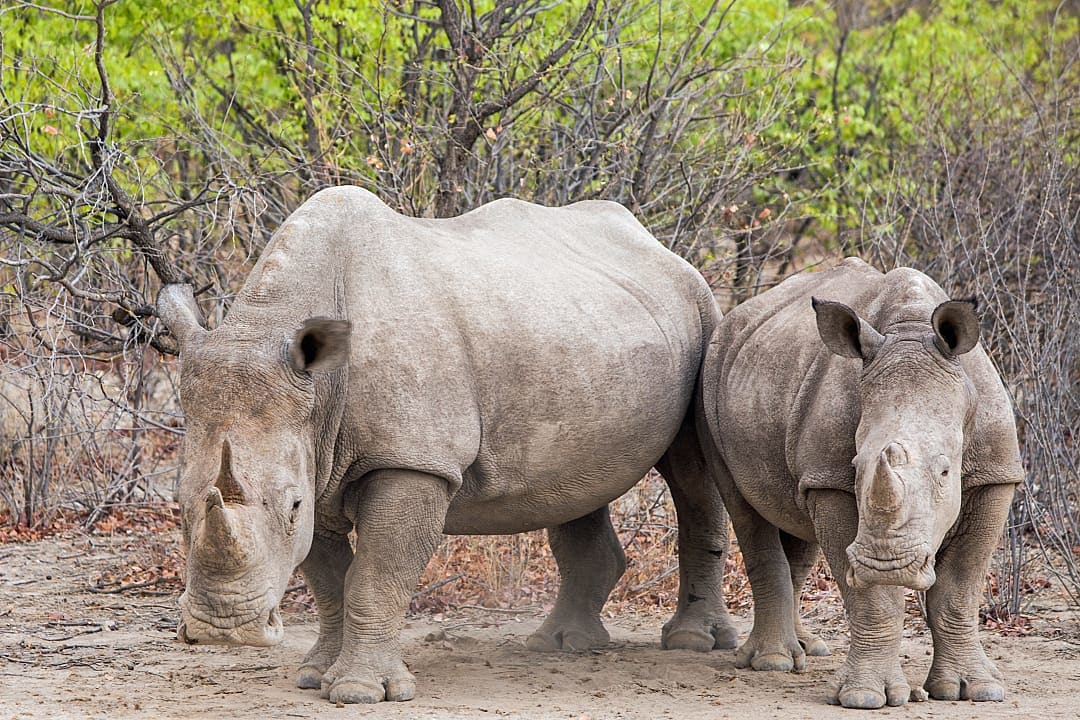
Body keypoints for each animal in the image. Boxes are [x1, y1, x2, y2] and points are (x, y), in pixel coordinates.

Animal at [157, 186, 737, 704]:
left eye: (292, 505)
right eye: (178, 505)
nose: (223, 630)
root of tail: (657, 245)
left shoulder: (413, 461)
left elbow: (374, 576)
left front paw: (359, 691)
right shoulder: (315, 453)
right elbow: (328, 580)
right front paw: (314, 675)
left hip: (702, 314)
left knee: (691, 469)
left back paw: (692, 642)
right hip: (581, 335)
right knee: (577, 483)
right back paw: (561, 645)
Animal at [697, 257, 1022, 709]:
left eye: (945, 472)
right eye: (856, 466)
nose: (889, 565)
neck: (910, 332)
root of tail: (735, 316)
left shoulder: (995, 474)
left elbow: (959, 587)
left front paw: (976, 690)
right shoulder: (831, 480)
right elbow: (873, 599)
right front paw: (866, 697)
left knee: (797, 522)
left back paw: (809, 648)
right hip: (710, 374)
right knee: (745, 510)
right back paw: (773, 662)